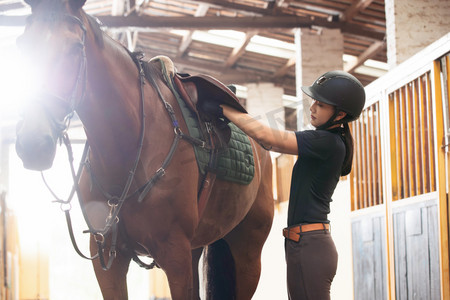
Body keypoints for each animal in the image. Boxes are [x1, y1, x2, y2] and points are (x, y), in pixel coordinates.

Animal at [14, 0, 272, 300]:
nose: (33, 143)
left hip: (247, 254)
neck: (129, 152)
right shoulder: (106, 257)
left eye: (75, 48)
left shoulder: (175, 253)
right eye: (23, 46)